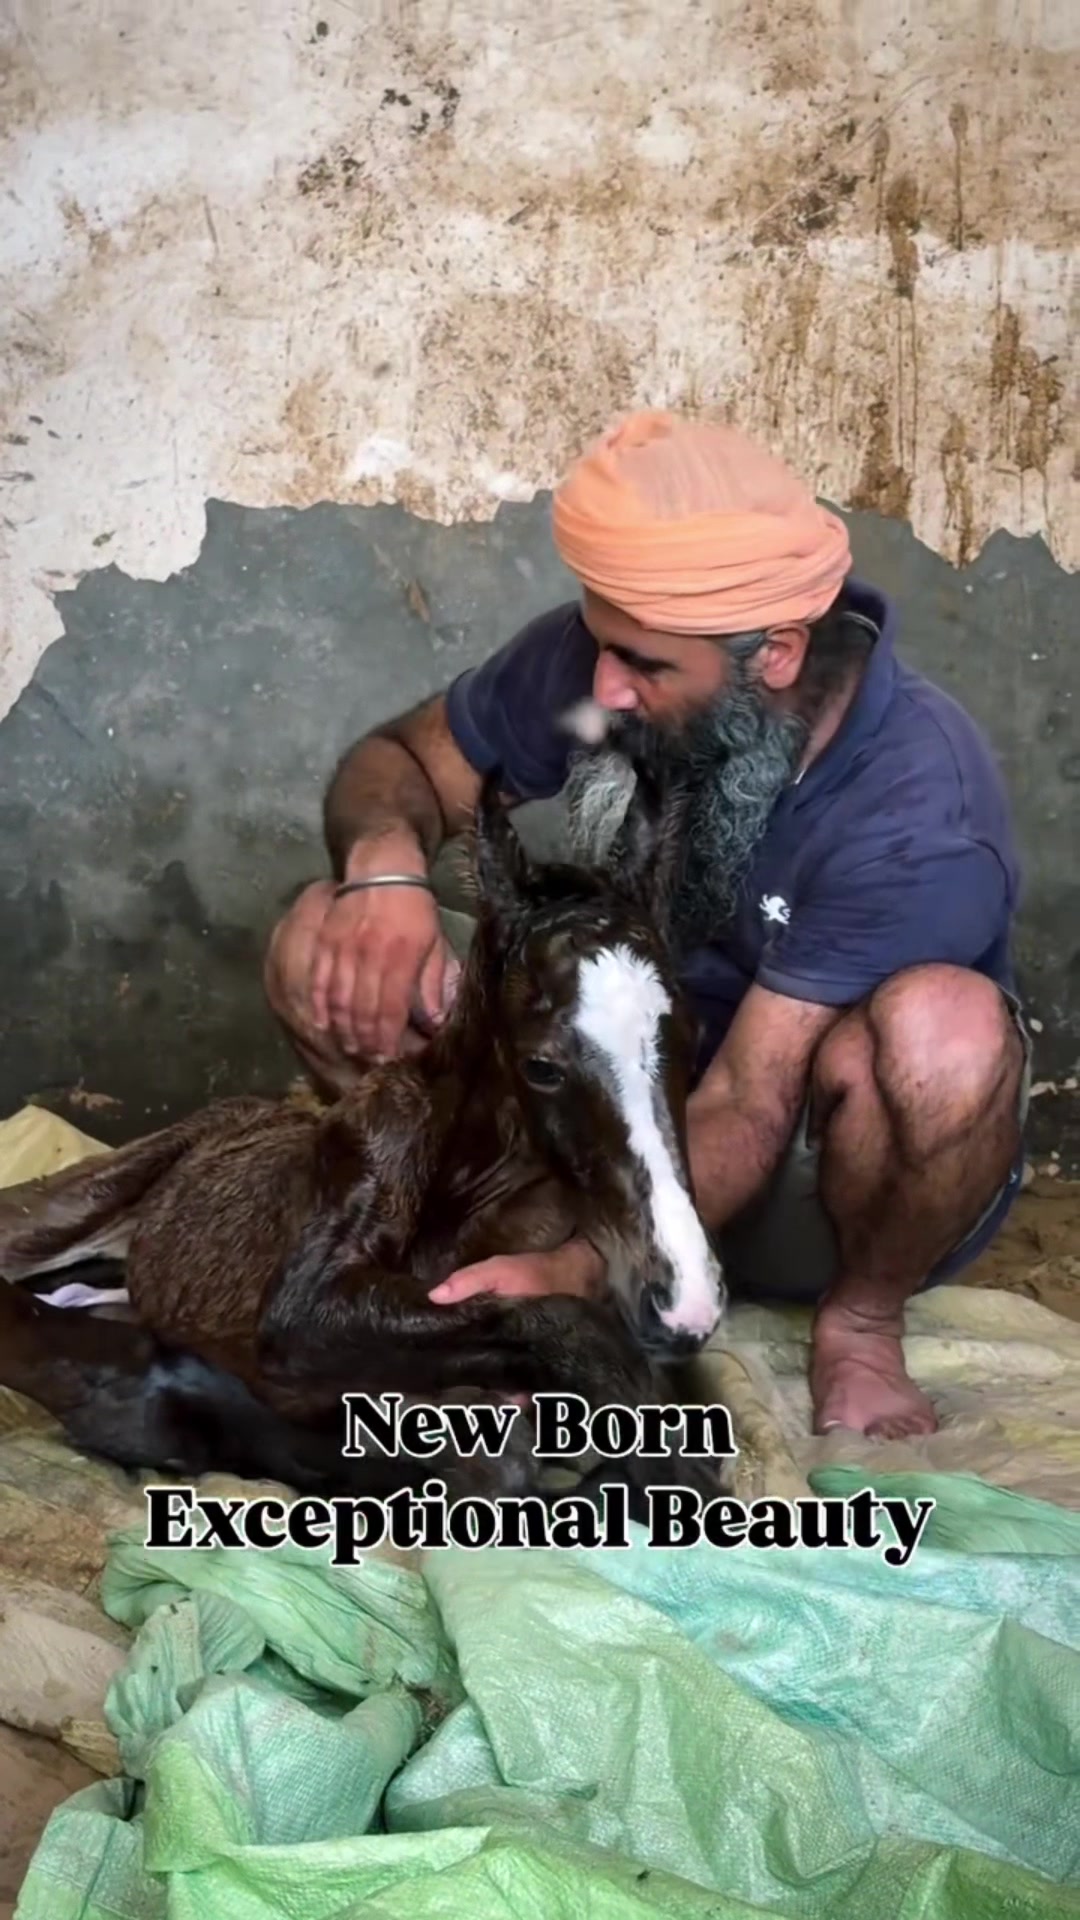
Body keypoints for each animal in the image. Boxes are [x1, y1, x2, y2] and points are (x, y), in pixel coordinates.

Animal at [0, 757, 728, 1511]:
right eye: (542, 1066)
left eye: (694, 1033)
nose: (687, 1304)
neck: (474, 1183)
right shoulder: (312, 1294)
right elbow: (550, 1334)